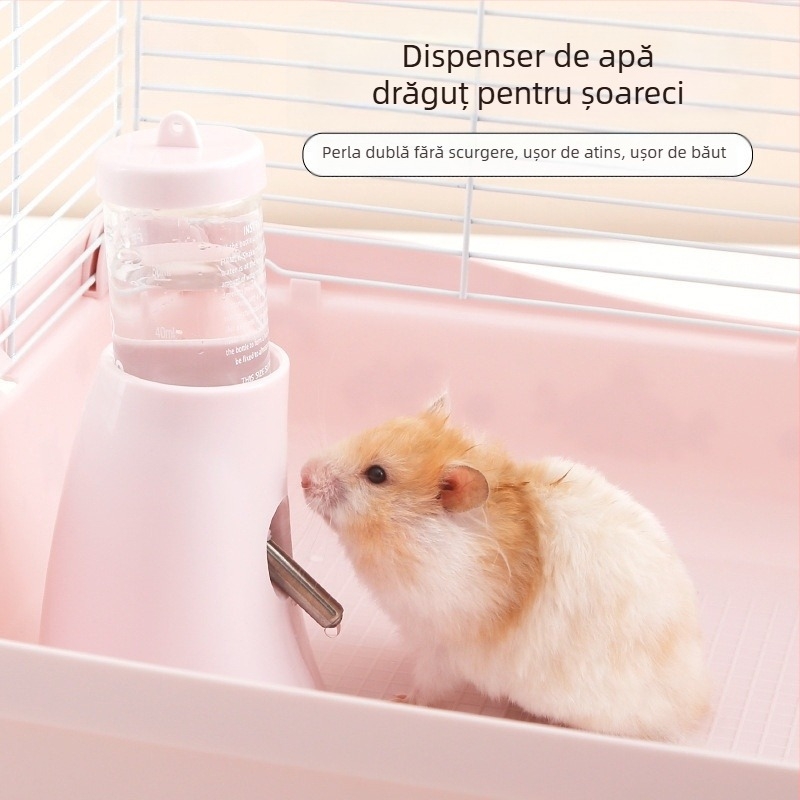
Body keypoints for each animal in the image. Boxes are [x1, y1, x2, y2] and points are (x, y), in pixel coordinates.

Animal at [300, 394, 711, 741]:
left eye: (377, 475)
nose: (303, 475)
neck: (419, 536)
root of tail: (697, 706)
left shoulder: (439, 645)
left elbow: (428, 685)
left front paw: (398, 699)